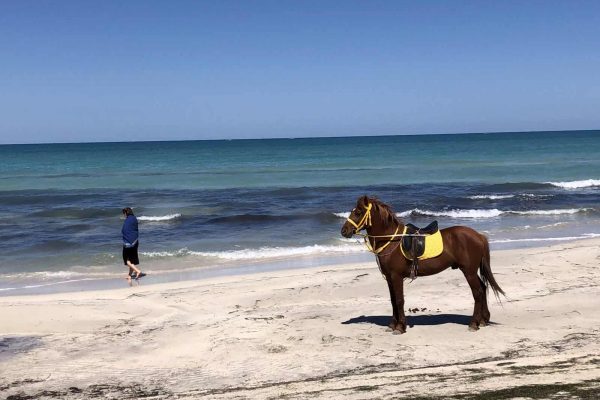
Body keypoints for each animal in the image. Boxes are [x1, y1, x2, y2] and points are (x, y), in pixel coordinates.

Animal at [340, 195, 504, 332]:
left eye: (359, 212)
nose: (344, 231)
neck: (391, 240)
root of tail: (479, 236)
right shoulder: (389, 278)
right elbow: (392, 300)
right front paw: (392, 324)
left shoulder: (396, 276)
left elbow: (399, 300)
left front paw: (400, 327)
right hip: (472, 271)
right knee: (483, 288)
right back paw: (483, 320)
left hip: (468, 271)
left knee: (477, 292)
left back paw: (474, 323)